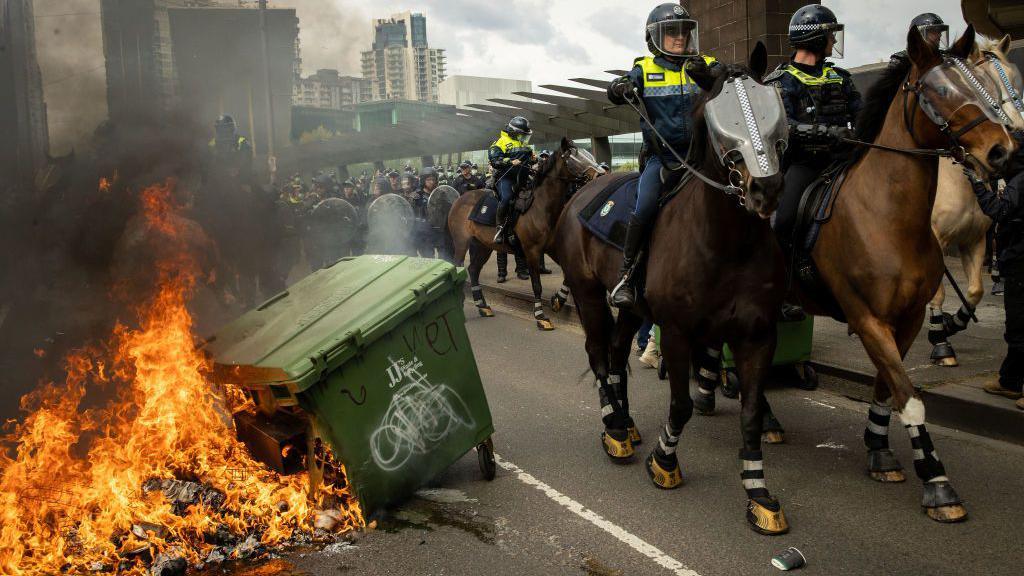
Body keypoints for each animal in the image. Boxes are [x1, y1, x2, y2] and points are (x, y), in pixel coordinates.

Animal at [446, 135, 602, 327]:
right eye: (574, 156)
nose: (600, 174)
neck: (541, 206)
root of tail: (460, 199)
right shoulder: (531, 251)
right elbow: (537, 285)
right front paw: (540, 316)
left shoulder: (552, 248)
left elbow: (568, 275)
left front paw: (558, 300)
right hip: (461, 243)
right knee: (458, 267)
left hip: (483, 245)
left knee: (473, 269)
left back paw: (482, 306)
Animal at [557, 43, 794, 532]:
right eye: (722, 118)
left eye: (770, 106)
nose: (765, 188)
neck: (728, 244)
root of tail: (583, 193)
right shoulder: (679, 332)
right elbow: (682, 405)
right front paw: (664, 463)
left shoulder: (758, 334)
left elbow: (750, 412)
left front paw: (759, 494)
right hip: (587, 293)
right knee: (597, 352)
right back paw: (614, 429)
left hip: (630, 308)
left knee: (615, 352)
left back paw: (626, 421)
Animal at [790, 25, 1015, 520]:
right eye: (939, 90)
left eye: (979, 85)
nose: (1004, 150)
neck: (888, 215)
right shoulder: (867, 318)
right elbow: (910, 397)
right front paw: (936, 480)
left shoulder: (905, 318)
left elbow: (887, 385)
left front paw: (879, 449)